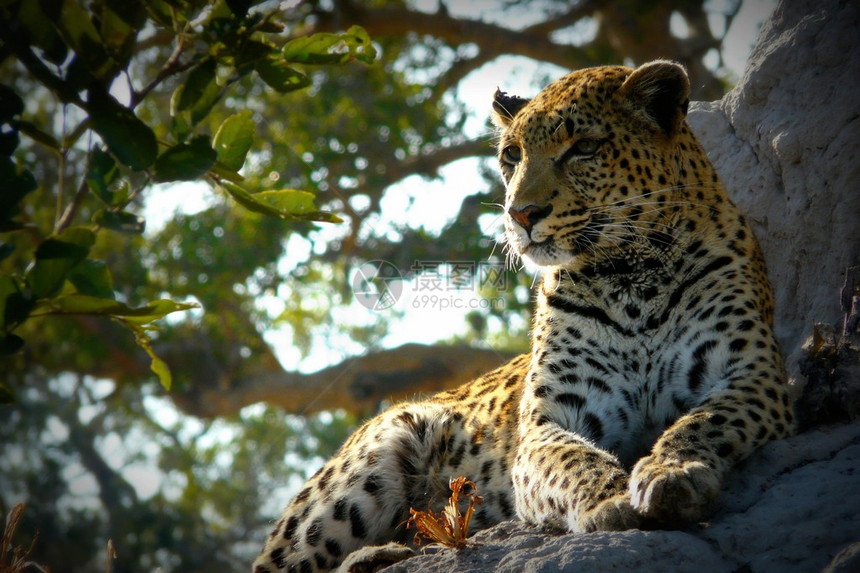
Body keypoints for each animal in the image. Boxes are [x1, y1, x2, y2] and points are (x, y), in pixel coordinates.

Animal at [252, 60, 796, 568]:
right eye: (510, 157)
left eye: (584, 148)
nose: (520, 213)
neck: (631, 275)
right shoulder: (548, 420)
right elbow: (571, 459)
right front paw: (611, 501)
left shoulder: (753, 375)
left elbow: (703, 422)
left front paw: (673, 472)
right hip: (367, 464)